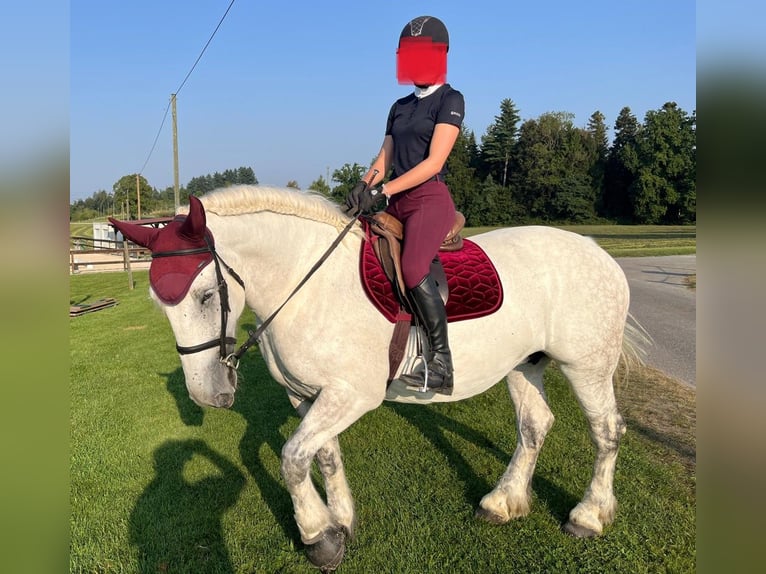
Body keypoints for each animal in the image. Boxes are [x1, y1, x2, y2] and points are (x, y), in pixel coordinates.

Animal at [110, 185, 645, 572]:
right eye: (161, 305)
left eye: (204, 295)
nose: (209, 393)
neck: (306, 285)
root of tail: (596, 251)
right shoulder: (307, 397)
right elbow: (322, 457)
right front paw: (340, 521)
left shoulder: (350, 396)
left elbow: (291, 459)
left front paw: (318, 537)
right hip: (524, 364)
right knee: (535, 426)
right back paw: (503, 500)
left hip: (587, 367)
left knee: (606, 431)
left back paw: (589, 515)